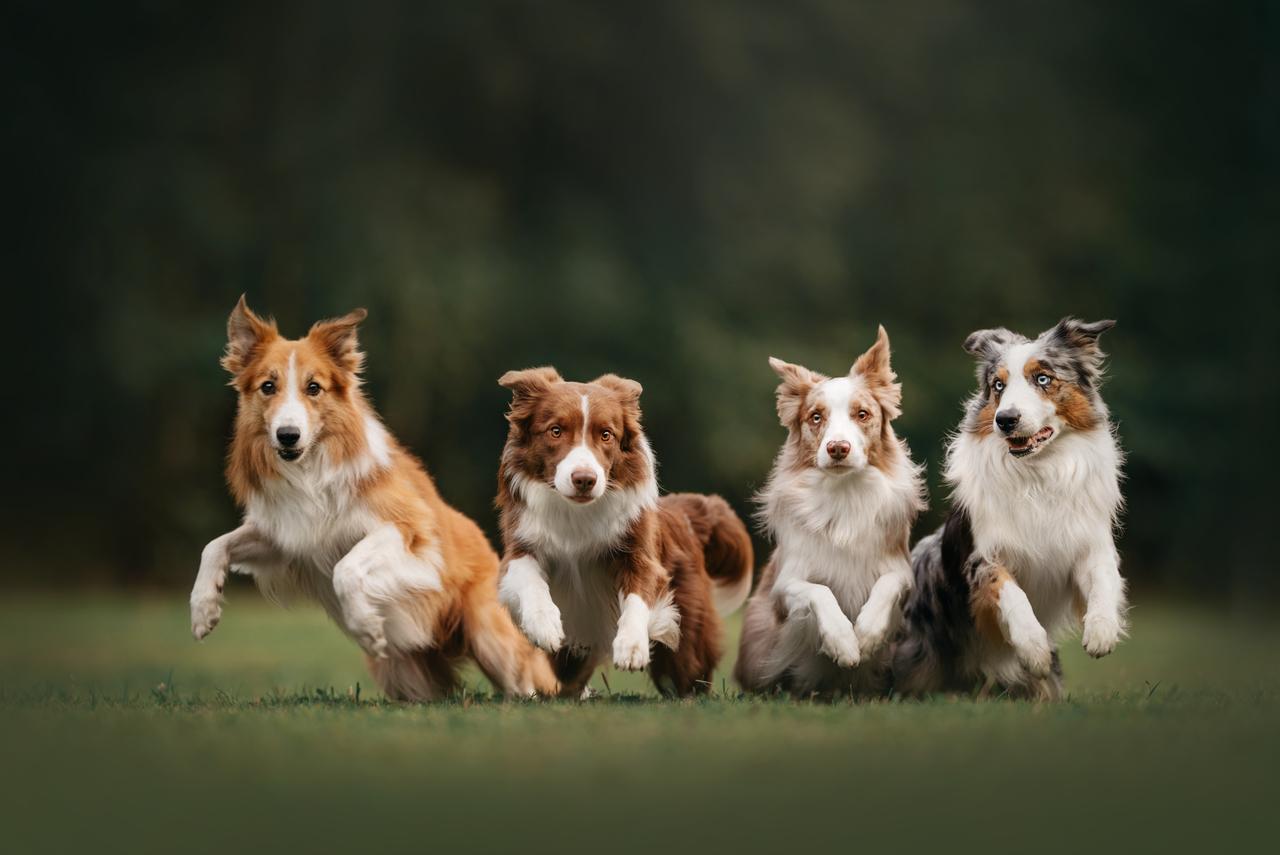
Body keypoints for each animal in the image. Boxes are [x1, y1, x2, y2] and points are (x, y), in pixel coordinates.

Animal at [186, 299, 558, 701]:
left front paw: (366, 627)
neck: (311, 470)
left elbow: (345, 569)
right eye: (267, 386)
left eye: (313, 387)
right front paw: (203, 609)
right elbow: (214, 546)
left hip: (490, 636)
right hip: (402, 673)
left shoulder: (406, 530)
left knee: (529, 682)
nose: (287, 435)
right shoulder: (283, 537)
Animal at [488, 366, 747, 696]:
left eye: (606, 435)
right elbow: (530, 581)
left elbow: (637, 598)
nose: (584, 479)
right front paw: (544, 625)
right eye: (556, 431)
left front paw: (632, 646)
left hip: (688, 638)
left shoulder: (640, 555)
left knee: (688, 675)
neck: (576, 513)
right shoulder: (521, 546)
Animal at [737, 325, 926, 696]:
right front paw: (844, 643)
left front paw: (866, 634)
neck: (844, 494)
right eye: (815, 417)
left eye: (862, 414)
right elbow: (819, 592)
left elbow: (888, 584)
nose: (838, 448)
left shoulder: (900, 569)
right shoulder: (784, 586)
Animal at [896, 317, 1126, 696]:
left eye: (1043, 379)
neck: (1039, 474)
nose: (1005, 419)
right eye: (998, 385)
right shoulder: (983, 556)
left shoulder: (1085, 545)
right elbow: (1013, 596)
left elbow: (1105, 577)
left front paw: (1101, 631)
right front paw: (1034, 649)